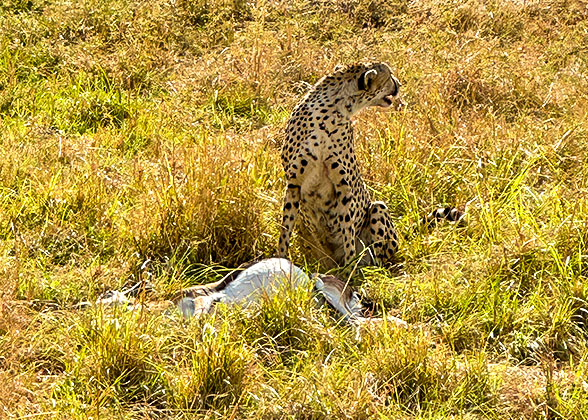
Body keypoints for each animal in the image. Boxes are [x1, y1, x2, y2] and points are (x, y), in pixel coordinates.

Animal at [276, 61, 464, 270]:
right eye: (389, 75)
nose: (399, 83)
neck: (333, 110)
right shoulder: (294, 184)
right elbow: (285, 228)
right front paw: (280, 259)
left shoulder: (344, 187)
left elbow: (347, 230)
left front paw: (350, 268)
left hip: (377, 209)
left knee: (379, 257)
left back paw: (366, 267)